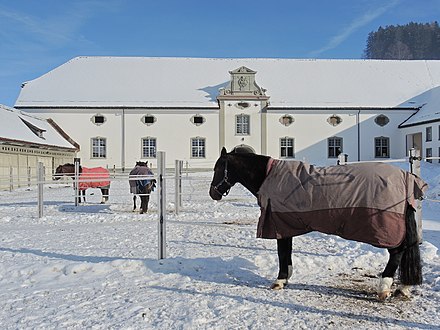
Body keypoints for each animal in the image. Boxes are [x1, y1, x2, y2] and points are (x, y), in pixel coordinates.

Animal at [210, 148, 426, 300]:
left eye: (218, 168)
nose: (213, 193)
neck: (269, 176)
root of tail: (405, 178)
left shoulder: (279, 224)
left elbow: (282, 252)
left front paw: (279, 280)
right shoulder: (287, 225)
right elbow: (286, 252)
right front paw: (286, 278)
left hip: (385, 230)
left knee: (397, 252)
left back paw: (384, 288)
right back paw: (404, 287)